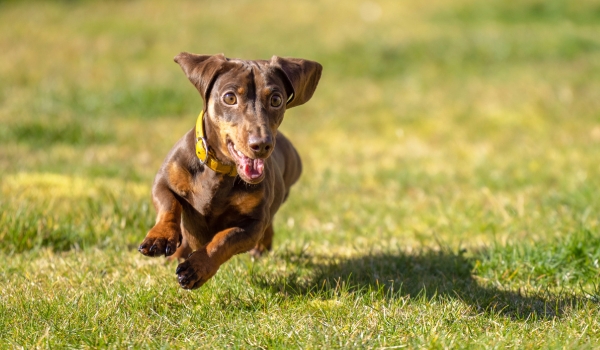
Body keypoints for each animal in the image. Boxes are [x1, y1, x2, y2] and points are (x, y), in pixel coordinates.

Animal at [138, 51, 322, 288]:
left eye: (276, 99)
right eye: (229, 98)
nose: (262, 145)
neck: (221, 170)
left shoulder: (253, 225)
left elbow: (223, 239)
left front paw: (197, 267)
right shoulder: (162, 182)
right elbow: (169, 204)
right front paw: (159, 237)